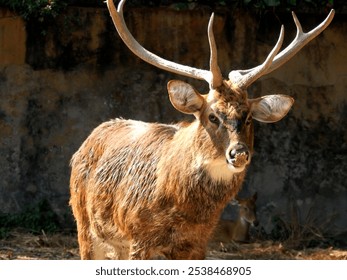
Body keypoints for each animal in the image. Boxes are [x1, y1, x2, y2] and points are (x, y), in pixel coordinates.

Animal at [68, 0, 334, 260]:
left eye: (248, 117)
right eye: (212, 116)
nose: (239, 153)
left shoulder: (198, 242)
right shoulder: (138, 235)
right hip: (84, 222)